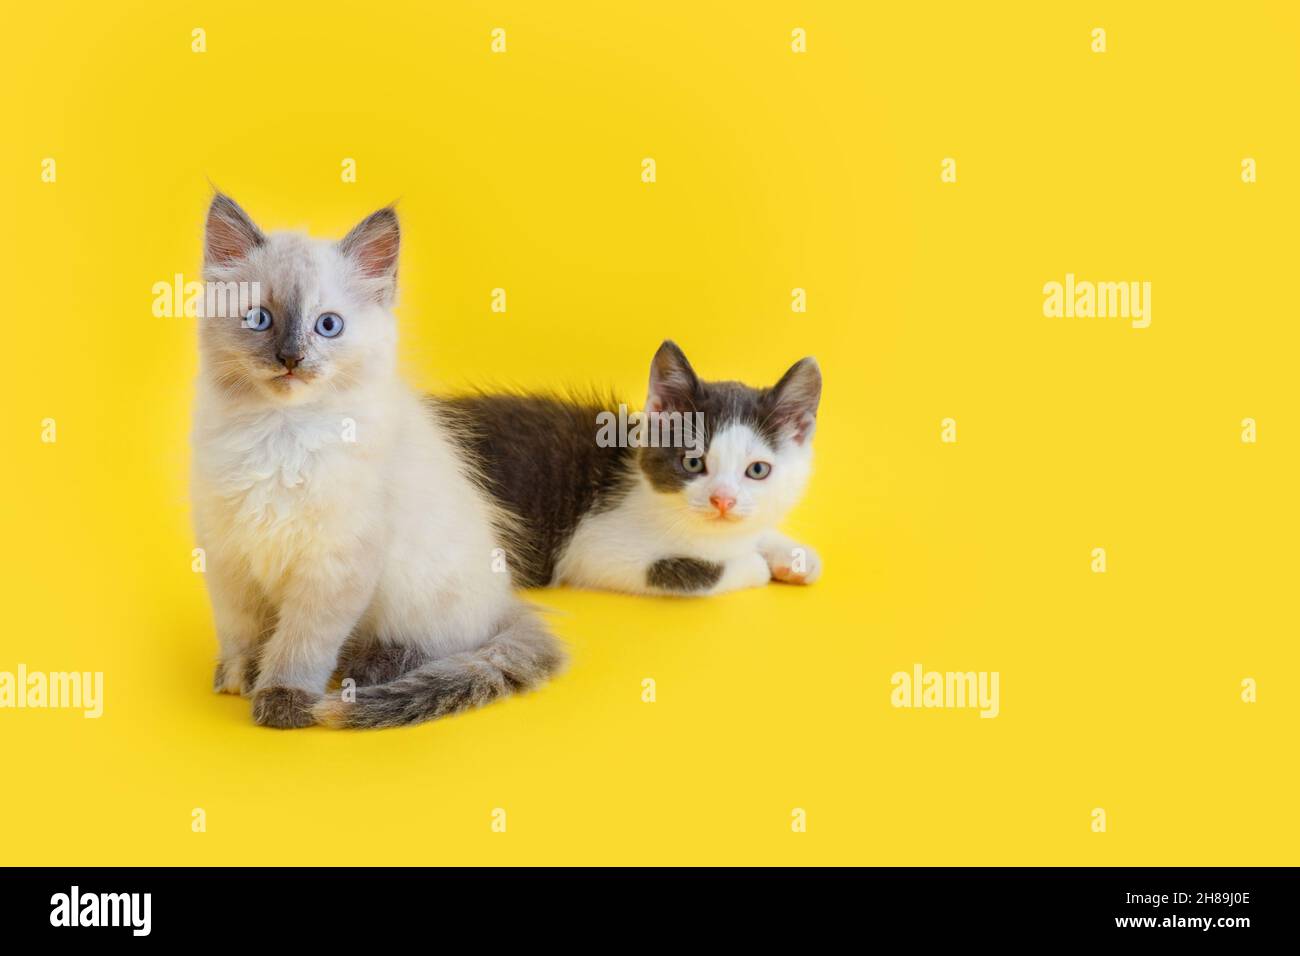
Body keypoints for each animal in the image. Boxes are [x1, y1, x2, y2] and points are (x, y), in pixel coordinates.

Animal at [191, 196, 564, 733]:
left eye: (328, 325)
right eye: (259, 319)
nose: (291, 358)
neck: (282, 434)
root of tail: (505, 601)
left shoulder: (335, 564)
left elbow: (301, 644)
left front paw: (282, 699)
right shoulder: (228, 553)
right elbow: (242, 630)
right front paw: (240, 676)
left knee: (445, 646)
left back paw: (370, 667)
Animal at [436, 343, 821, 595]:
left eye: (757, 470)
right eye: (692, 462)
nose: (722, 500)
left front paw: (793, 556)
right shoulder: (593, 548)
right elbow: (692, 569)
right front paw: (756, 565)